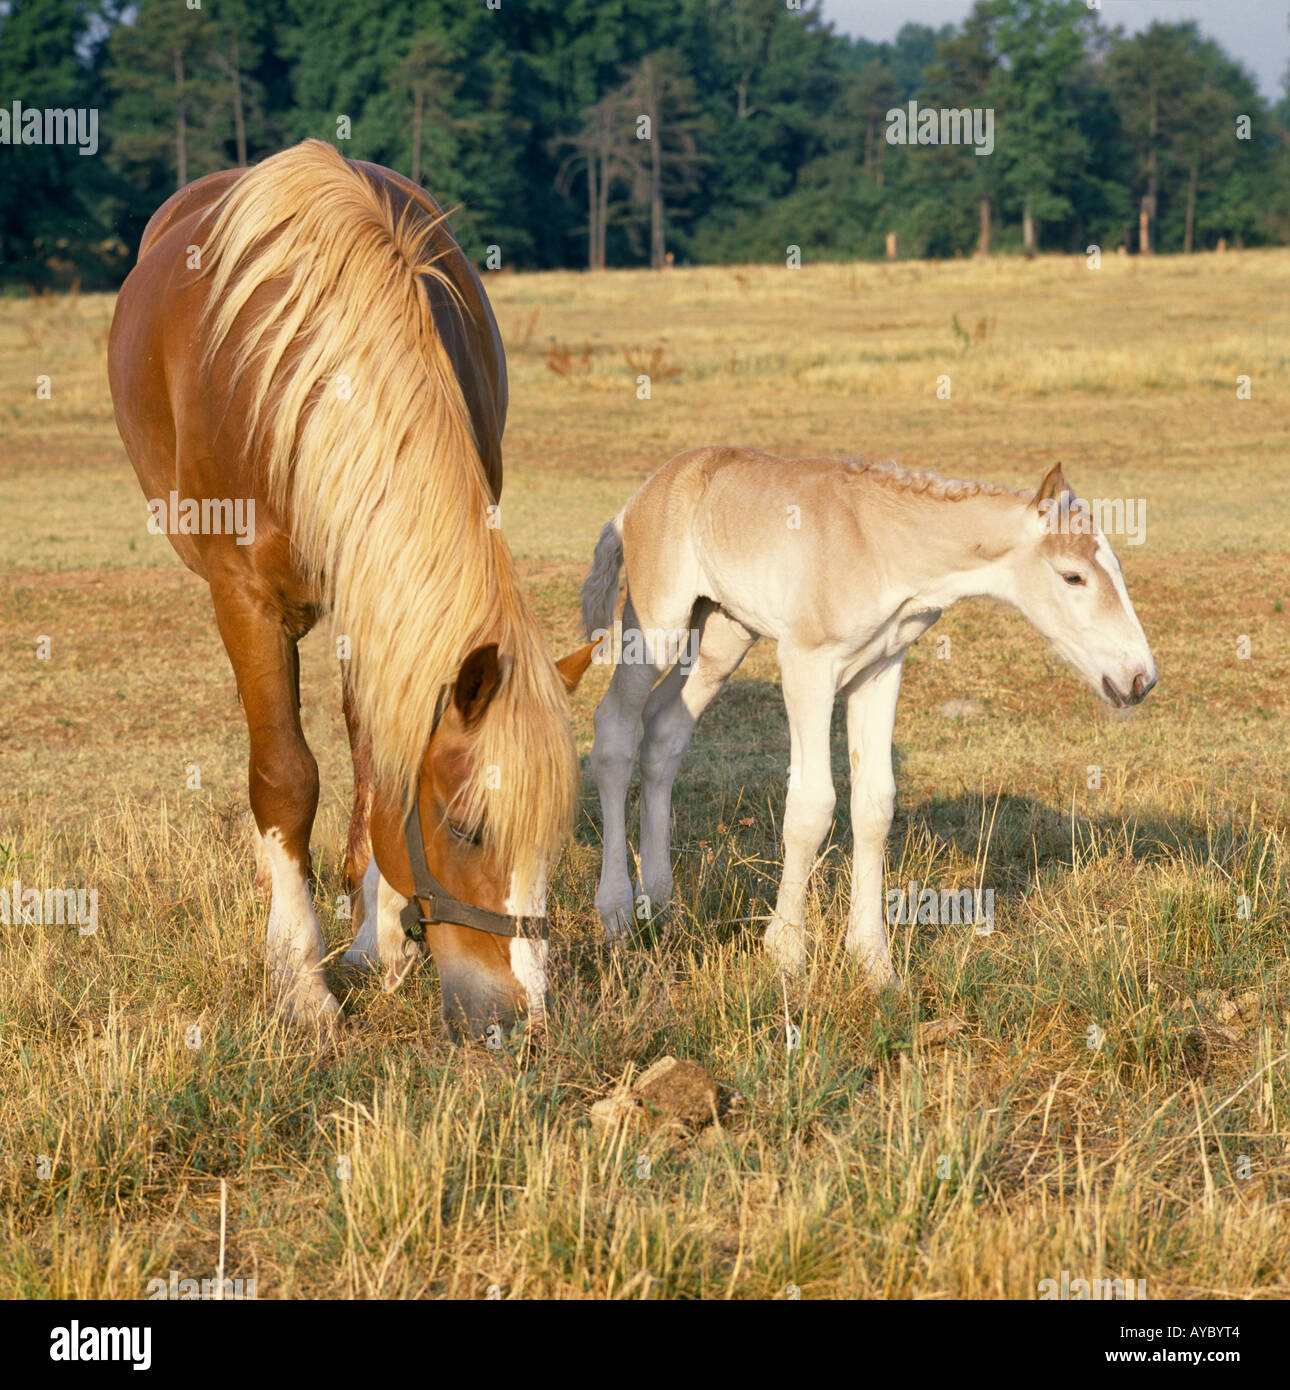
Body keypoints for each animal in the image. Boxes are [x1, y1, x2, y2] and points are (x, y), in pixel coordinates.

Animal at [578, 447, 1156, 989]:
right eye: (1073, 576)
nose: (1140, 679)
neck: (881, 546)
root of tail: (641, 496)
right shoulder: (807, 665)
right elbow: (812, 806)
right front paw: (787, 956)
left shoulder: (880, 670)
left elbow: (874, 806)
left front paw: (874, 963)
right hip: (658, 624)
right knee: (616, 730)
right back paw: (618, 915)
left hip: (723, 632)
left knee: (664, 731)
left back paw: (660, 903)